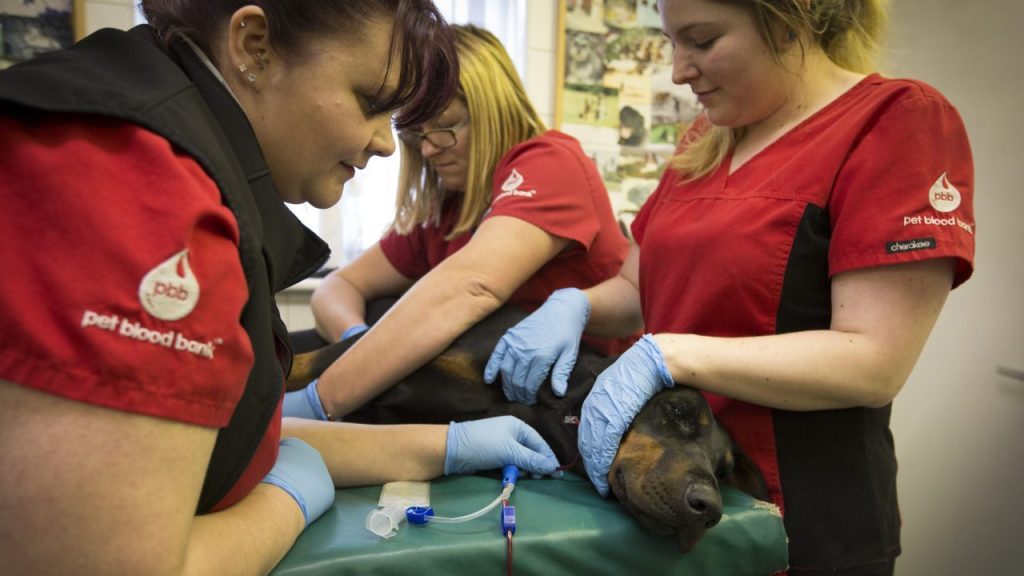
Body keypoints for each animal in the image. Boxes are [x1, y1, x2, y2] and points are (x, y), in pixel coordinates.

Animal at [284, 297, 765, 549]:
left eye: (723, 470)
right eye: (678, 412)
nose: (710, 508)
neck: (554, 407)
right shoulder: (379, 347)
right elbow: (311, 366)